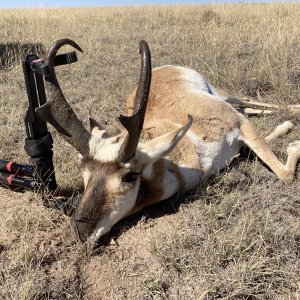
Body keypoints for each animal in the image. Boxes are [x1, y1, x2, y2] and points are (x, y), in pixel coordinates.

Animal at [37, 38, 300, 244]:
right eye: (83, 171)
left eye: (130, 176)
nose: (77, 233)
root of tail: (163, 69)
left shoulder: (239, 123)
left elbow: (284, 174)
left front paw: (293, 143)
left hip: (225, 96)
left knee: (252, 102)